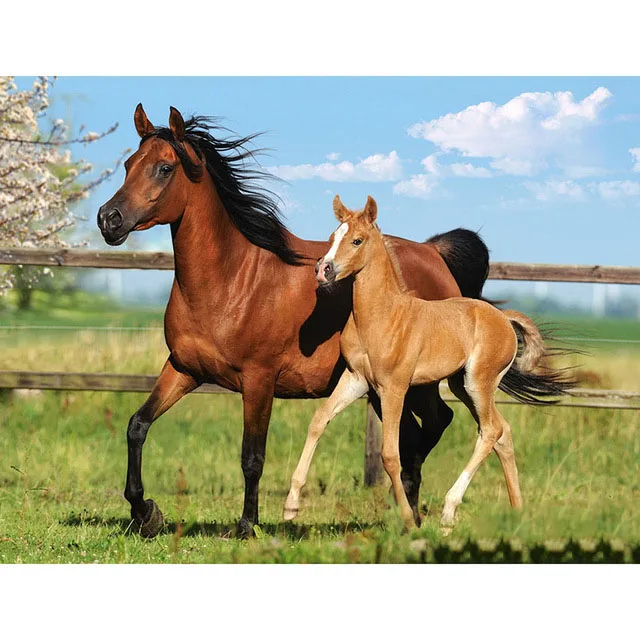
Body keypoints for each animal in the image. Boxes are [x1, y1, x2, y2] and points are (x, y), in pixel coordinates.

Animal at [97, 104, 491, 537]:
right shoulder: (184, 369)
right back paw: (407, 515)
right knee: (414, 435)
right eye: (129, 164)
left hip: (415, 382)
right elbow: (137, 425)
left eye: (164, 168)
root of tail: (434, 253)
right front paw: (145, 512)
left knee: (436, 424)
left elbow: (252, 456)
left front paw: (247, 525)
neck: (230, 281)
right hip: (381, 388)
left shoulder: (258, 380)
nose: (108, 219)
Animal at [284, 195, 573, 529]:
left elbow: (390, 454)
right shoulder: (356, 379)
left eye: (357, 240)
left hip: (479, 383)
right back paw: (516, 512)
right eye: (332, 238)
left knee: (490, 431)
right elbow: (319, 420)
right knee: (503, 431)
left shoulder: (394, 388)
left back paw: (449, 512)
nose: (323, 270)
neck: (381, 315)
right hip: (462, 385)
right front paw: (291, 505)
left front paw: (408, 520)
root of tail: (503, 318)